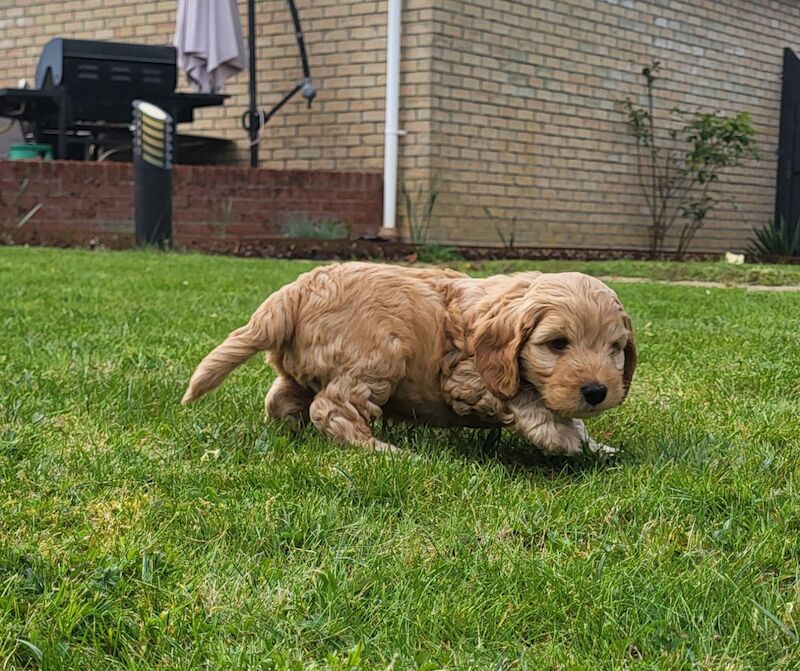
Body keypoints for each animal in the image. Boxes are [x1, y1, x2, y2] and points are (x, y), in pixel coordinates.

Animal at [183, 262, 636, 456]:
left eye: (615, 349)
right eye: (557, 344)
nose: (596, 391)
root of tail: (296, 290)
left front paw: (596, 445)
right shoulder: (468, 378)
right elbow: (528, 403)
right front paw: (565, 440)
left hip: (303, 368)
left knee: (281, 399)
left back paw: (290, 430)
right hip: (374, 359)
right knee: (331, 410)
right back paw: (386, 451)